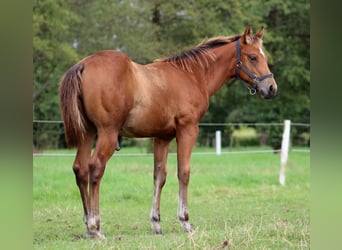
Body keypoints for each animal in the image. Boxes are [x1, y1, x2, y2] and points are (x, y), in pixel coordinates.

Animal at [59, 24, 278, 238]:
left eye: (264, 57)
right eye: (253, 57)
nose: (271, 88)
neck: (193, 75)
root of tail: (83, 65)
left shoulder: (161, 137)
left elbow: (159, 176)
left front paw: (156, 223)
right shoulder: (188, 130)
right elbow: (184, 172)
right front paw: (185, 221)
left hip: (87, 133)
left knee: (81, 169)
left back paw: (88, 226)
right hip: (108, 133)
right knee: (95, 168)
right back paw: (95, 227)